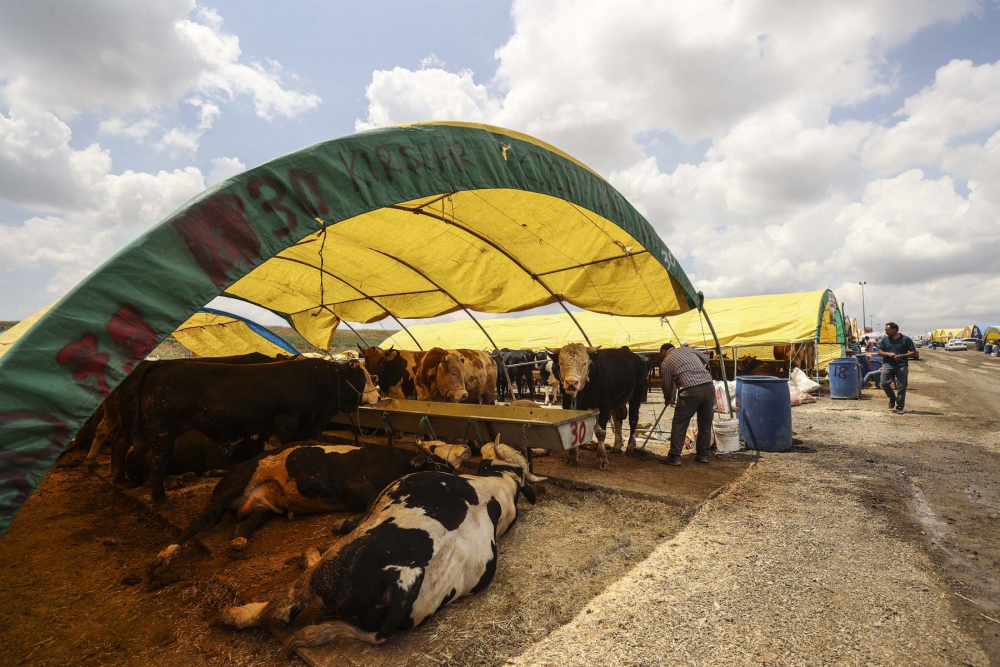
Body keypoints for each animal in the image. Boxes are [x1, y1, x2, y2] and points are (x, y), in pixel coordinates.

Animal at [127, 360, 374, 506]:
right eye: (361, 376)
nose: (376, 395)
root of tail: (163, 364)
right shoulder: (288, 426)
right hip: (163, 431)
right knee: (155, 460)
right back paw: (161, 498)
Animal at [153, 440, 472, 568]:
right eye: (434, 449)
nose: (467, 447)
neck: (392, 462)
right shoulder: (353, 486)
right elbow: (369, 506)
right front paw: (343, 524)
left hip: (262, 509)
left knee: (245, 524)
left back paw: (239, 542)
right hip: (229, 488)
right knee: (201, 519)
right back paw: (166, 554)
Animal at [223, 438, 544, 652]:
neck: (503, 482)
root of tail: (408, 576)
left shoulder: (375, 504)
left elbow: (354, 519)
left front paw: (338, 525)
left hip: (336, 564)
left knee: (282, 607)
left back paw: (237, 613)